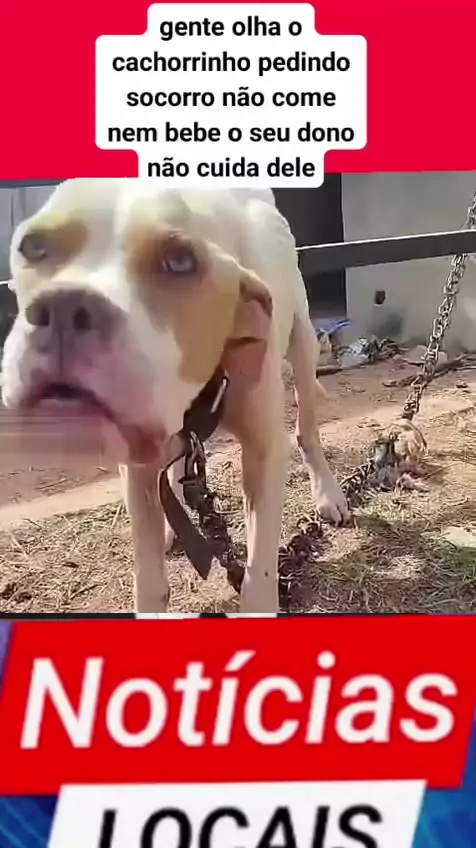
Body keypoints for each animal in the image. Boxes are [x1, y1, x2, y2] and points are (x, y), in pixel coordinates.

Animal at [1, 180, 349, 613]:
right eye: (33, 246)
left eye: (180, 261)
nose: (63, 307)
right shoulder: (135, 464)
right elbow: (149, 579)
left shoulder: (264, 452)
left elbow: (259, 573)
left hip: (302, 345)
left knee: (306, 428)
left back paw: (329, 493)